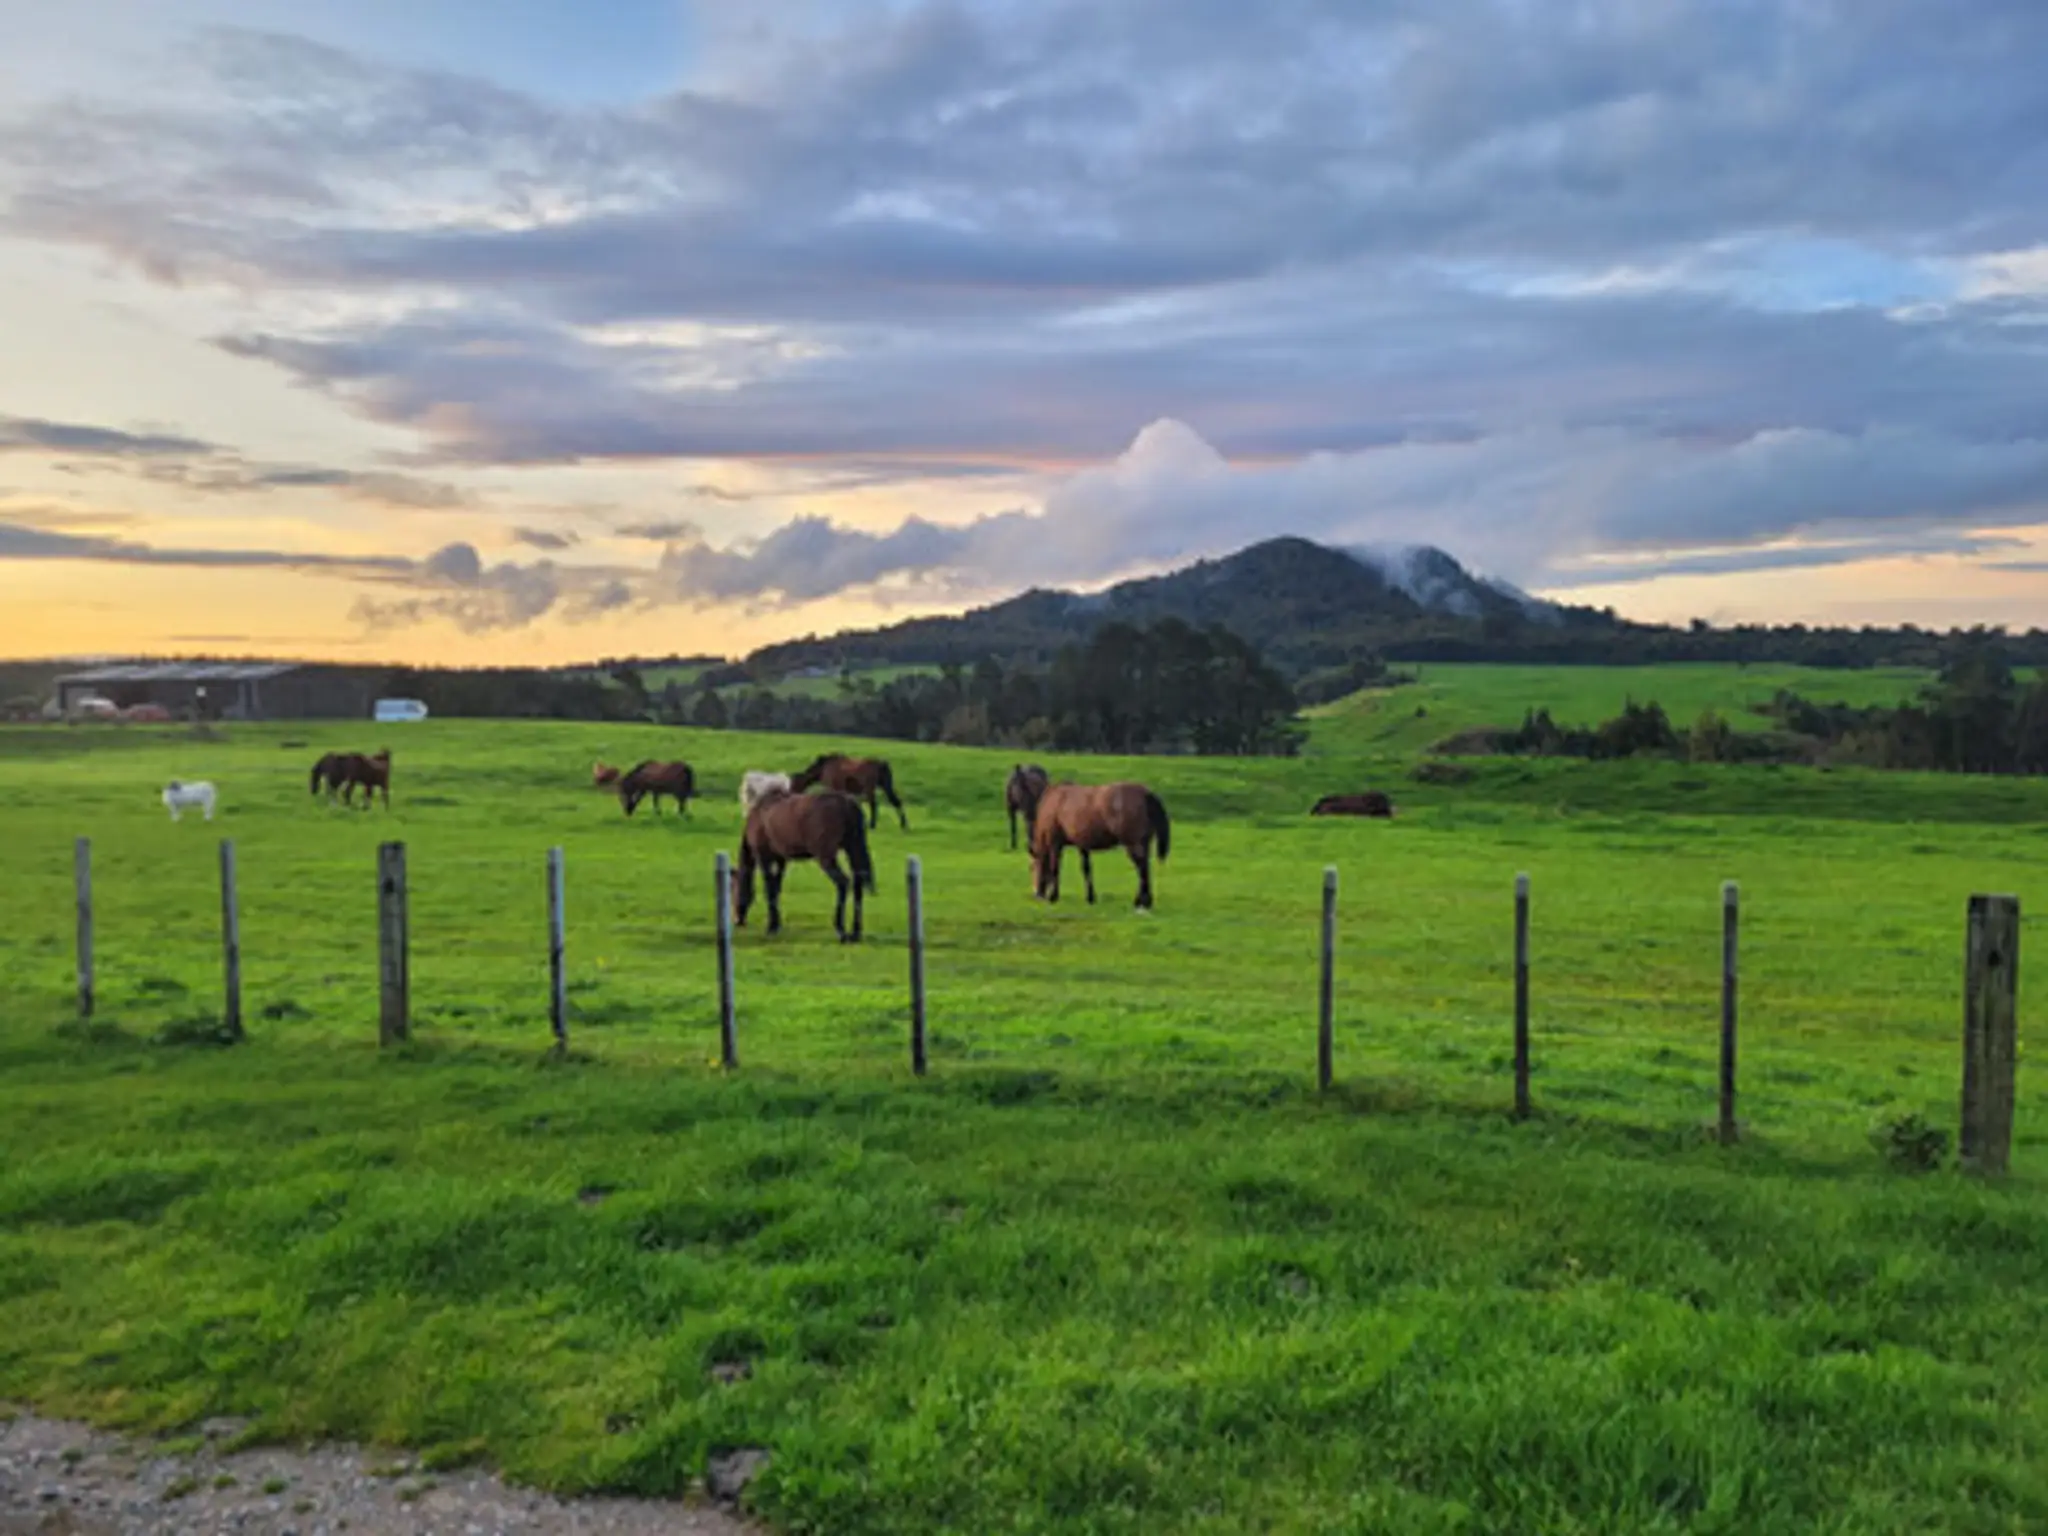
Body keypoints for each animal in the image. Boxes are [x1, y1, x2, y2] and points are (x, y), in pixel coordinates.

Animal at [734, 789, 876, 943]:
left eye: (733, 890)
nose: (737, 920)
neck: (759, 816)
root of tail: (847, 803)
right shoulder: (781, 860)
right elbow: (776, 889)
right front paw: (776, 925)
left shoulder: (764, 858)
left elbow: (769, 890)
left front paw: (771, 927)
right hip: (853, 849)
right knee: (858, 884)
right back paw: (855, 933)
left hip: (826, 857)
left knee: (843, 883)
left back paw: (841, 931)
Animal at [1031, 781, 1171, 909]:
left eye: (1032, 868)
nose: (1037, 895)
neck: (1054, 801)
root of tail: (1146, 793)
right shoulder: (1083, 845)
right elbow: (1087, 869)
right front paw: (1090, 897)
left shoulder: (1054, 843)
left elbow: (1055, 868)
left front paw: (1053, 896)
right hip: (1143, 844)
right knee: (1145, 867)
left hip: (1133, 844)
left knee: (1142, 869)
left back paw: (1141, 902)